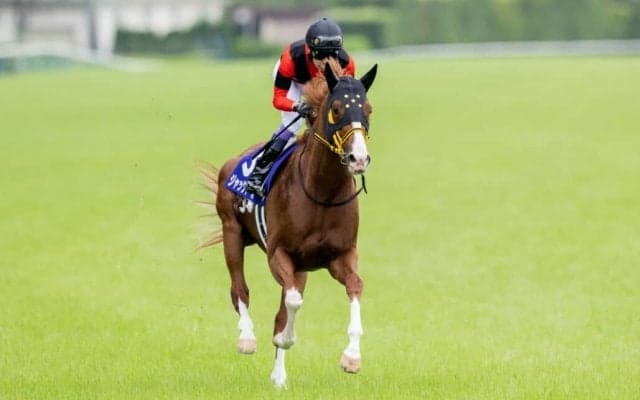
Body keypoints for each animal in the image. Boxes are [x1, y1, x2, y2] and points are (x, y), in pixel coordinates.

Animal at [200, 61, 377, 388]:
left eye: (368, 109)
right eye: (336, 109)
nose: (358, 158)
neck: (321, 192)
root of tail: (232, 161)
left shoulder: (340, 256)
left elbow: (354, 286)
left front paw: (351, 357)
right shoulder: (279, 254)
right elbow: (293, 302)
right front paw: (284, 339)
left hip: (300, 267)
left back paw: (279, 375)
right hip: (232, 232)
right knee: (239, 288)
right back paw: (247, 338)